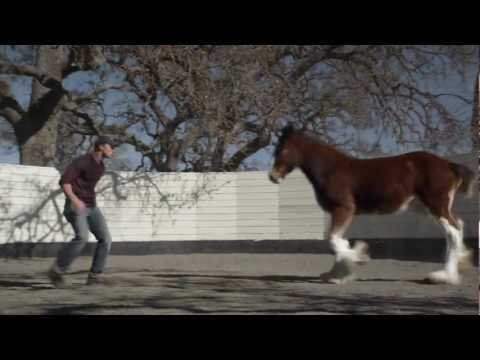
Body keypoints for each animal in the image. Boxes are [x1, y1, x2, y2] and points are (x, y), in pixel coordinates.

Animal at [268, 125, 474, 286]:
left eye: (282, 150)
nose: (273, 176)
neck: (331, 170)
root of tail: (449, 165)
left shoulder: (344, 209)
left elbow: (334, 240)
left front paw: (359, 257)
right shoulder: (336, 212)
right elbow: (335, 240)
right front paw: (336, 275)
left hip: (436, 205)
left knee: (453, 231)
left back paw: (445, 277)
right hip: (426, 207)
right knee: (457, 227)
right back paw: (457, 264)